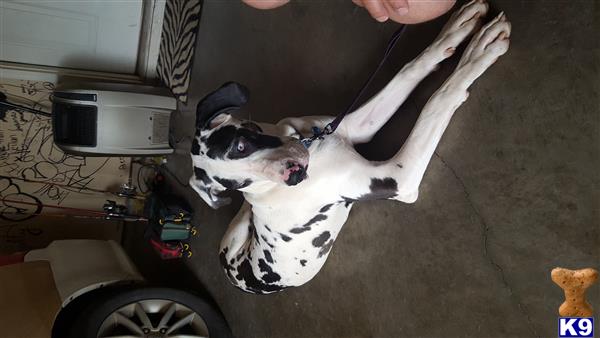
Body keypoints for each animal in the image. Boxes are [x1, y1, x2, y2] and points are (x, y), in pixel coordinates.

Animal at [190, 0, 508, 294]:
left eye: (241, 146)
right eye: (238, 182)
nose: (294, 175)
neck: (310, 143)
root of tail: (230, 270)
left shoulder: (355, 126)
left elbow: (410, 69)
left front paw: (458, 31)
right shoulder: (400, 178)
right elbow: (437, 101)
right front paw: (480, 51)